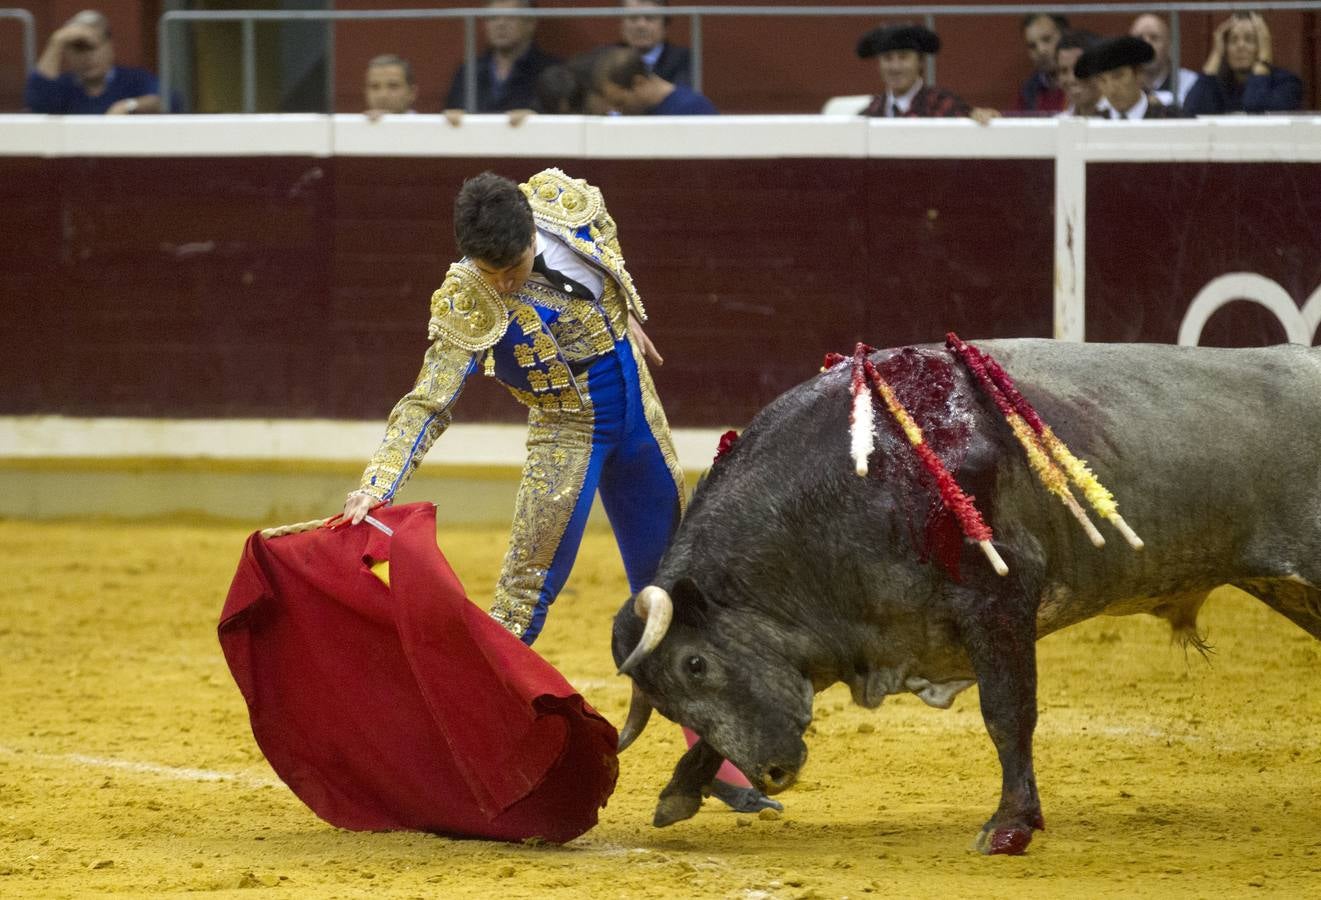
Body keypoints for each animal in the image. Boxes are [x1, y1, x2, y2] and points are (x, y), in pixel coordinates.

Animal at [610, 337, 1321, 851]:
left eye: (695, 664)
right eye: (666, 700)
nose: (775, 774)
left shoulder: (1001, 601)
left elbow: (1008, 714)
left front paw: (1010, 826)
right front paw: (681, 790)